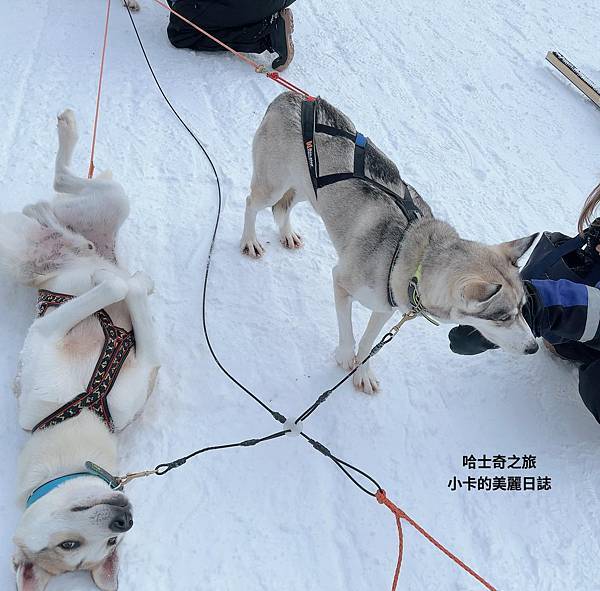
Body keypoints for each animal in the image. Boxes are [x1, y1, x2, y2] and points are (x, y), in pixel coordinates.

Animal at [0, 108, 159, 588]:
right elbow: (116, 287)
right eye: (70, 546)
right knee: (61, 194)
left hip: (109, 204)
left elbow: (124, 291)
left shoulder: (143, 366)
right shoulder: (46, 334)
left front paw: (135, 284)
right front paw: (125, 284)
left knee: (69, 193)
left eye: (111, 543)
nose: (124, 521)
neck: (82, 410)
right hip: (18, 247)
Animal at [239, 93, 540, 394]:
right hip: (273, 185)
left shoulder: (385, 307)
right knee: (253, 203)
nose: (533, 348)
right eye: (502, 317)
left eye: (523, 308)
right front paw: (345, 356)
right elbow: (349, 334)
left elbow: (367, 344)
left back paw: (287, 232)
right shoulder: (341, 283)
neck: (413, 255)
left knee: (284, 207)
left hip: (308, 187)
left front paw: (362, 371)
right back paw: (250, 240)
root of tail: (294, 96)